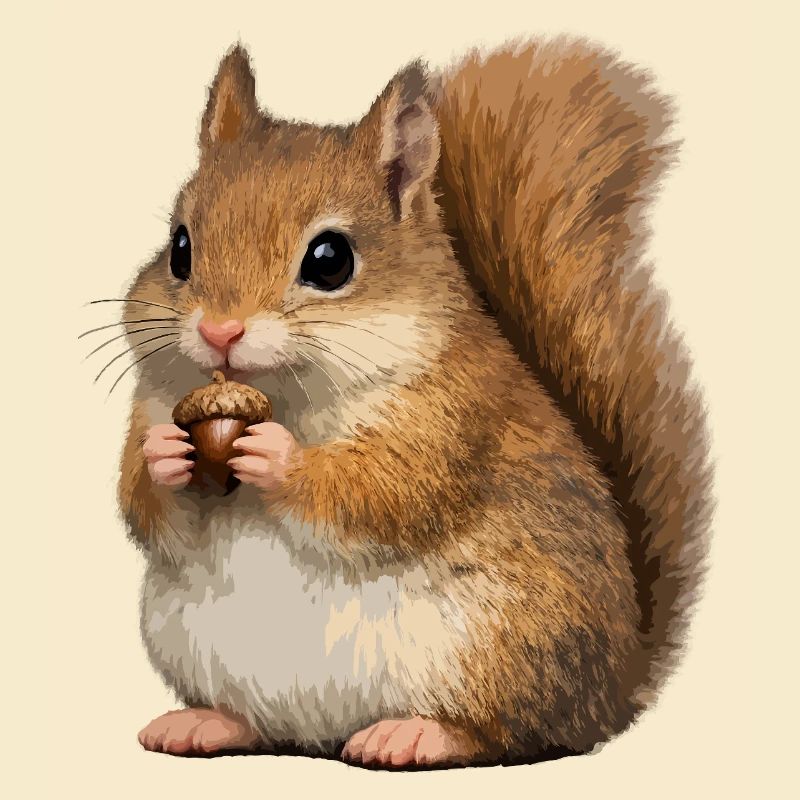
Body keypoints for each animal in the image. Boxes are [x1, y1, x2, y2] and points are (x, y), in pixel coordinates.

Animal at [115, 37, 712, 768]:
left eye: (330, 259)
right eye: (179, 247)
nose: (219, 332)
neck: (288, 395)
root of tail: (614, 689)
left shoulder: (451, 417)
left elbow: (386, 492)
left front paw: (279, 458)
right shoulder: (153, 402)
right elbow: (146, 508)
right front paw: (164, 457)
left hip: (503, 644)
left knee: (510, 733)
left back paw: (416, 734)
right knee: (261, 724)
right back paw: (206, 723)